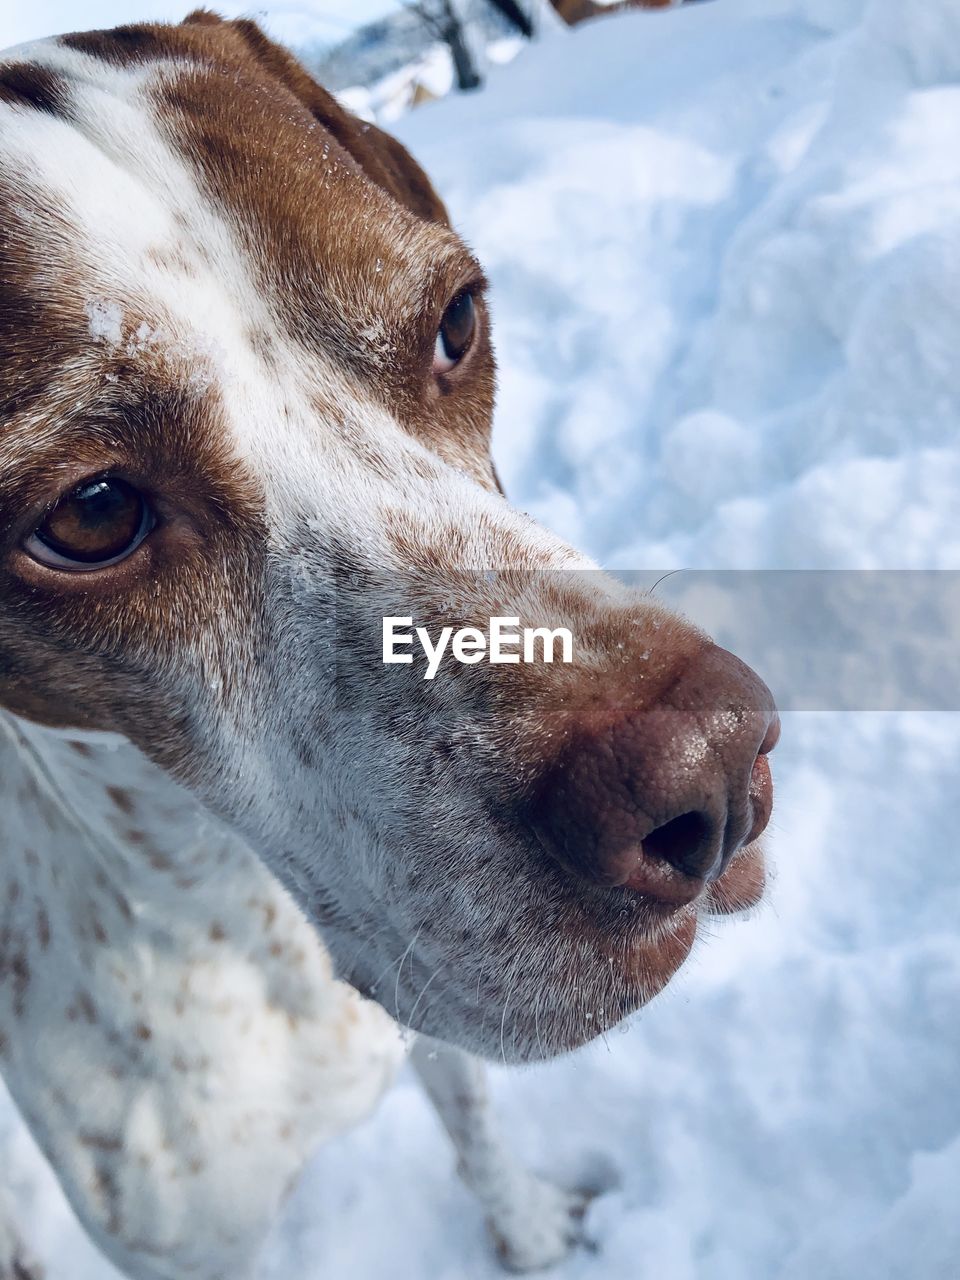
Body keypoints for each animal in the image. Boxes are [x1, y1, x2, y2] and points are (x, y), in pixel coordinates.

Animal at [0, 17, 783, 1280]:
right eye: (92, 514)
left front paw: (527, 1231)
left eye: (456, 322)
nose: (714, 779)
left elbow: (474, 1128)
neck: (234, 900)